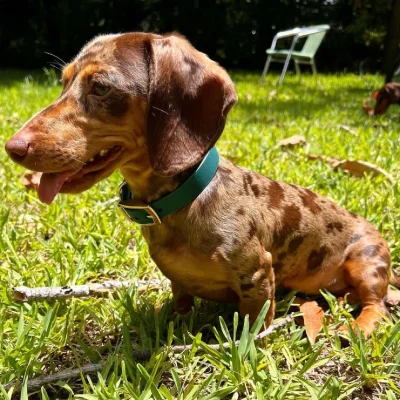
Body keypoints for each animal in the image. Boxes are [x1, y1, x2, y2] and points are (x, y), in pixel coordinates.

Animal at [4, 32, 398, 336]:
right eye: (63, 82)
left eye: (100, 87)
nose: (12, 148)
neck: (179, 202)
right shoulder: (178, 281)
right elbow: (180, 301)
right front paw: (166, 320)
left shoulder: (257, 275)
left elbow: (253, 326)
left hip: (366, 262)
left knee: (378, 306)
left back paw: (358, 327)